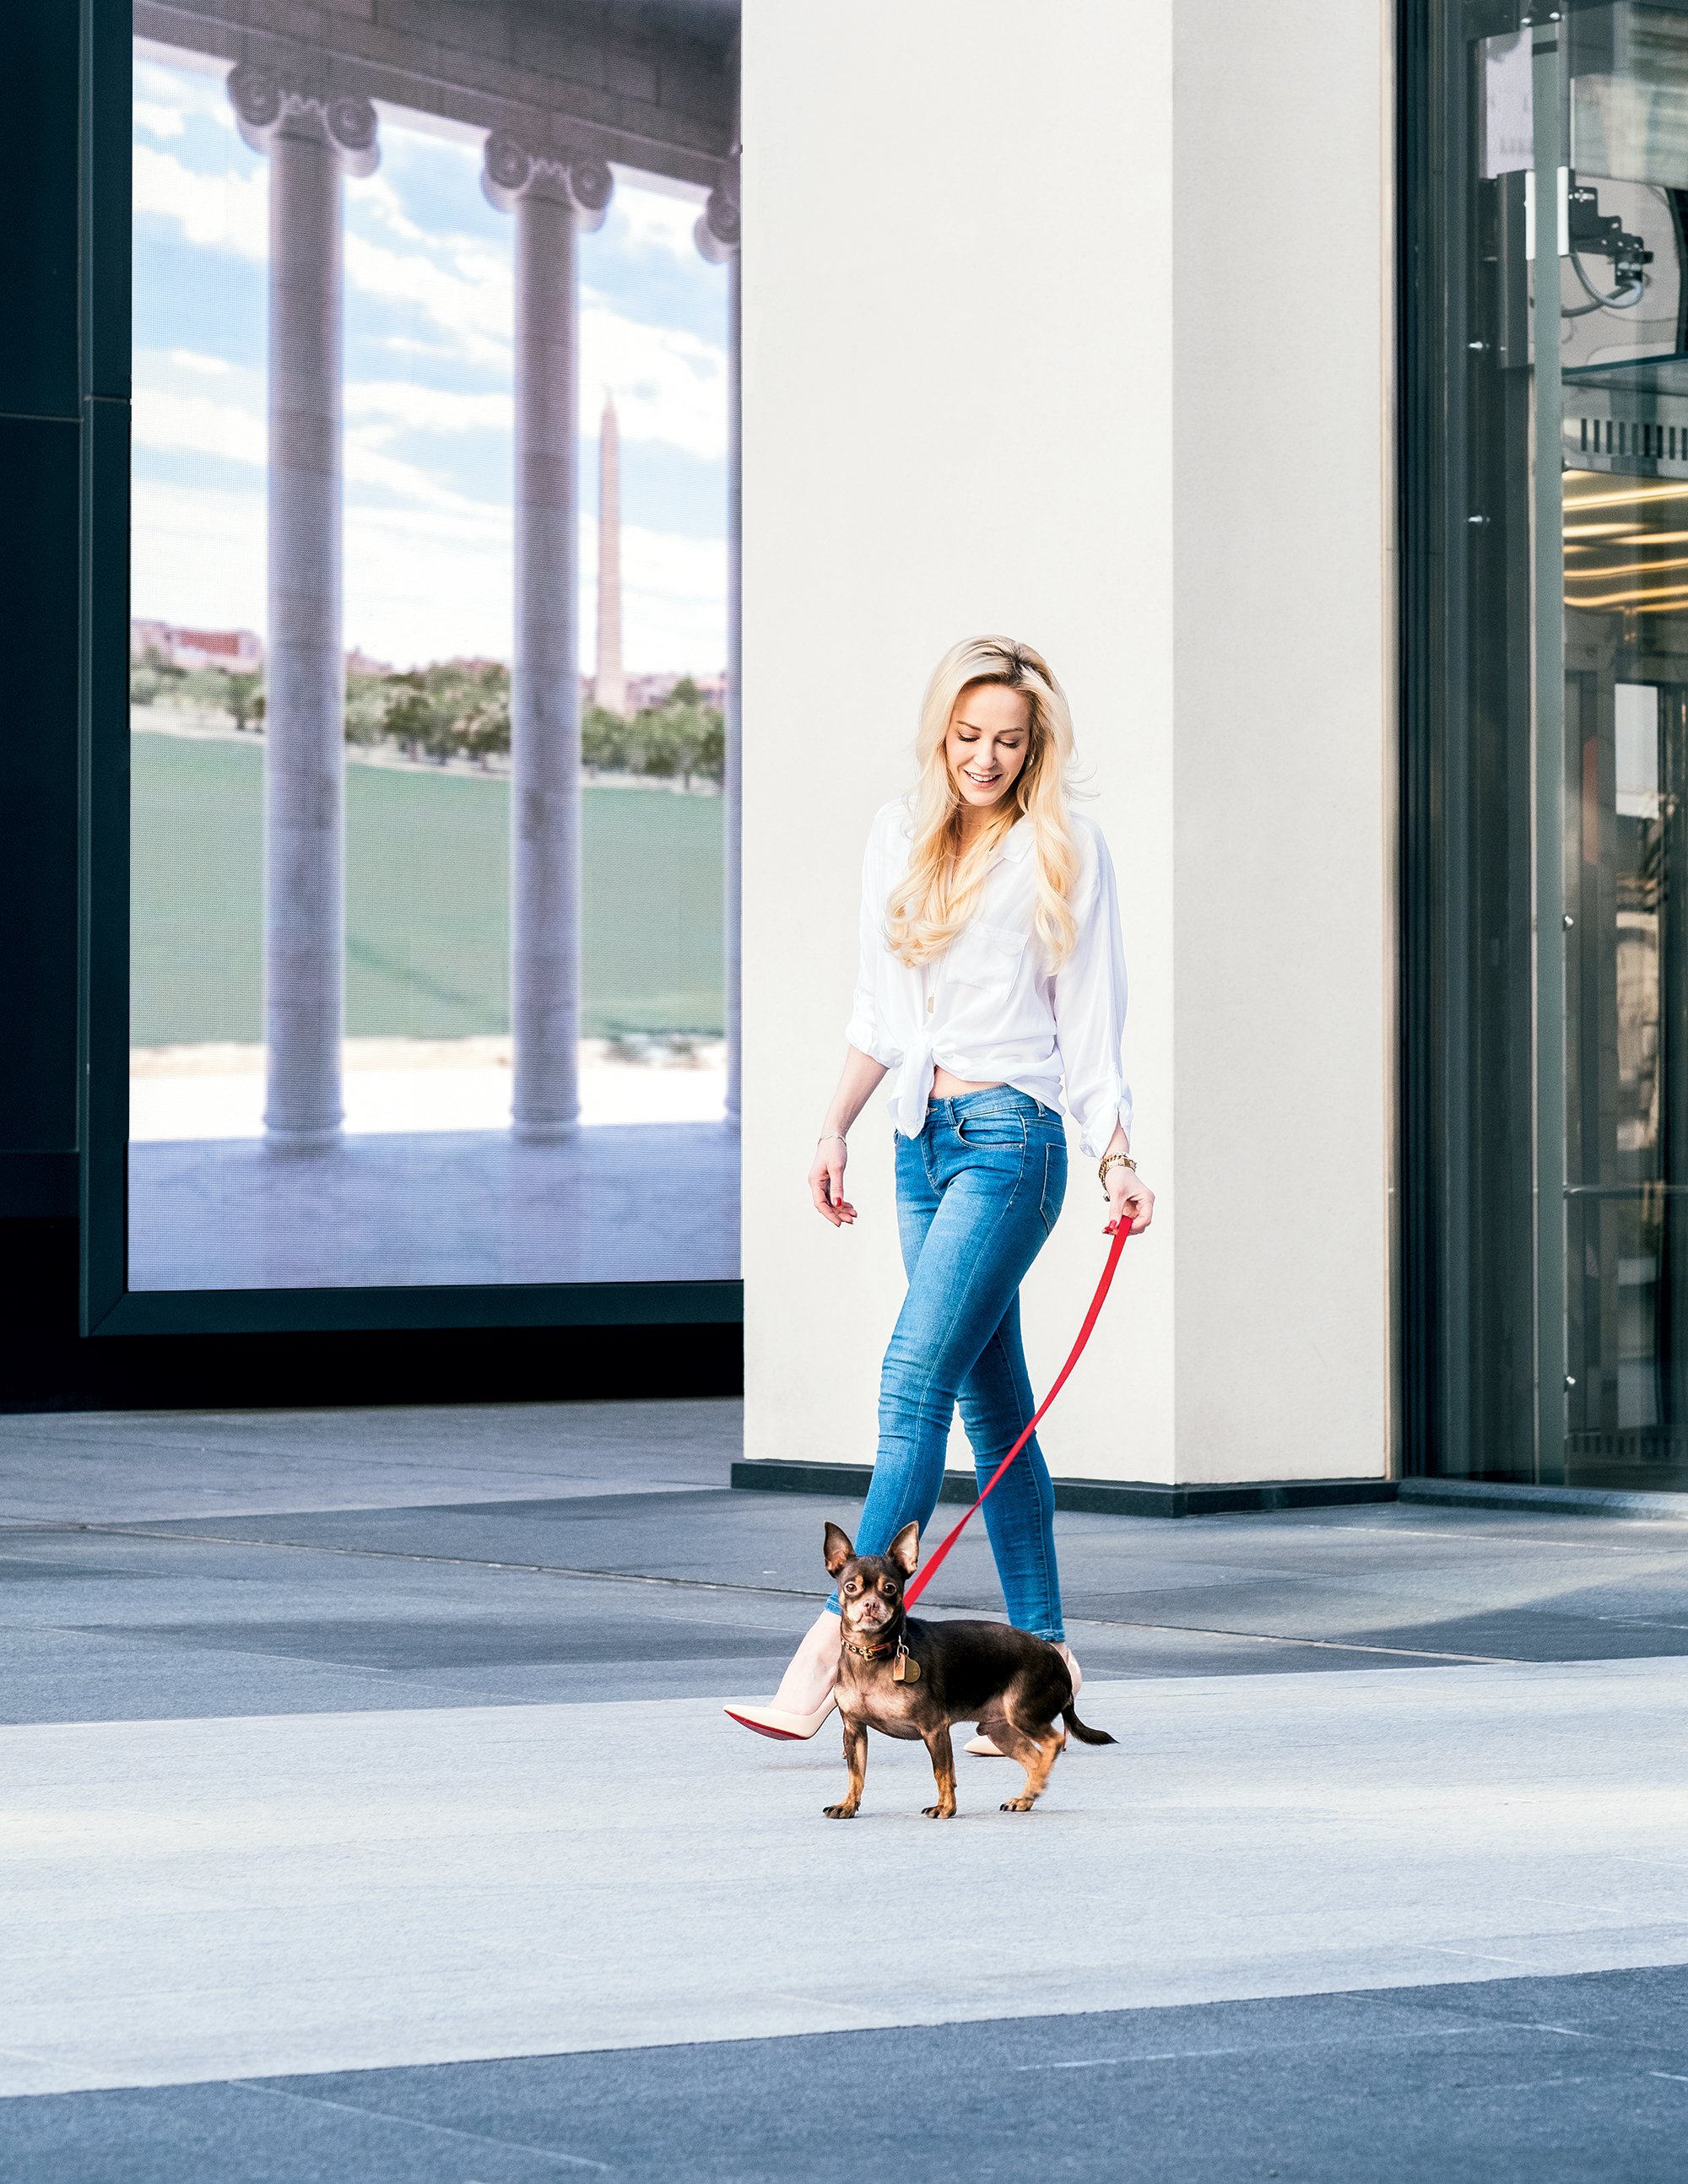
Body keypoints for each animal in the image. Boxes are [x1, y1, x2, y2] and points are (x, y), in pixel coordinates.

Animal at [820, 1511, 1113, 1817]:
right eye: (850, 1587)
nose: (870, 1604)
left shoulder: (934, 1729)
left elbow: (942, 1772)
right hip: (1000, 1730)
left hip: (1023, 1714)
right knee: (1035, 1758)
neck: (872, 1653)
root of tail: (1056, 1658)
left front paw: (946, 1807)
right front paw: (848, 1805)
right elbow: (856, 1773)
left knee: (1054, 1742)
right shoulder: (854, 1731)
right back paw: (1025, 1798)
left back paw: (1033, 1789)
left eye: (889, 1588)